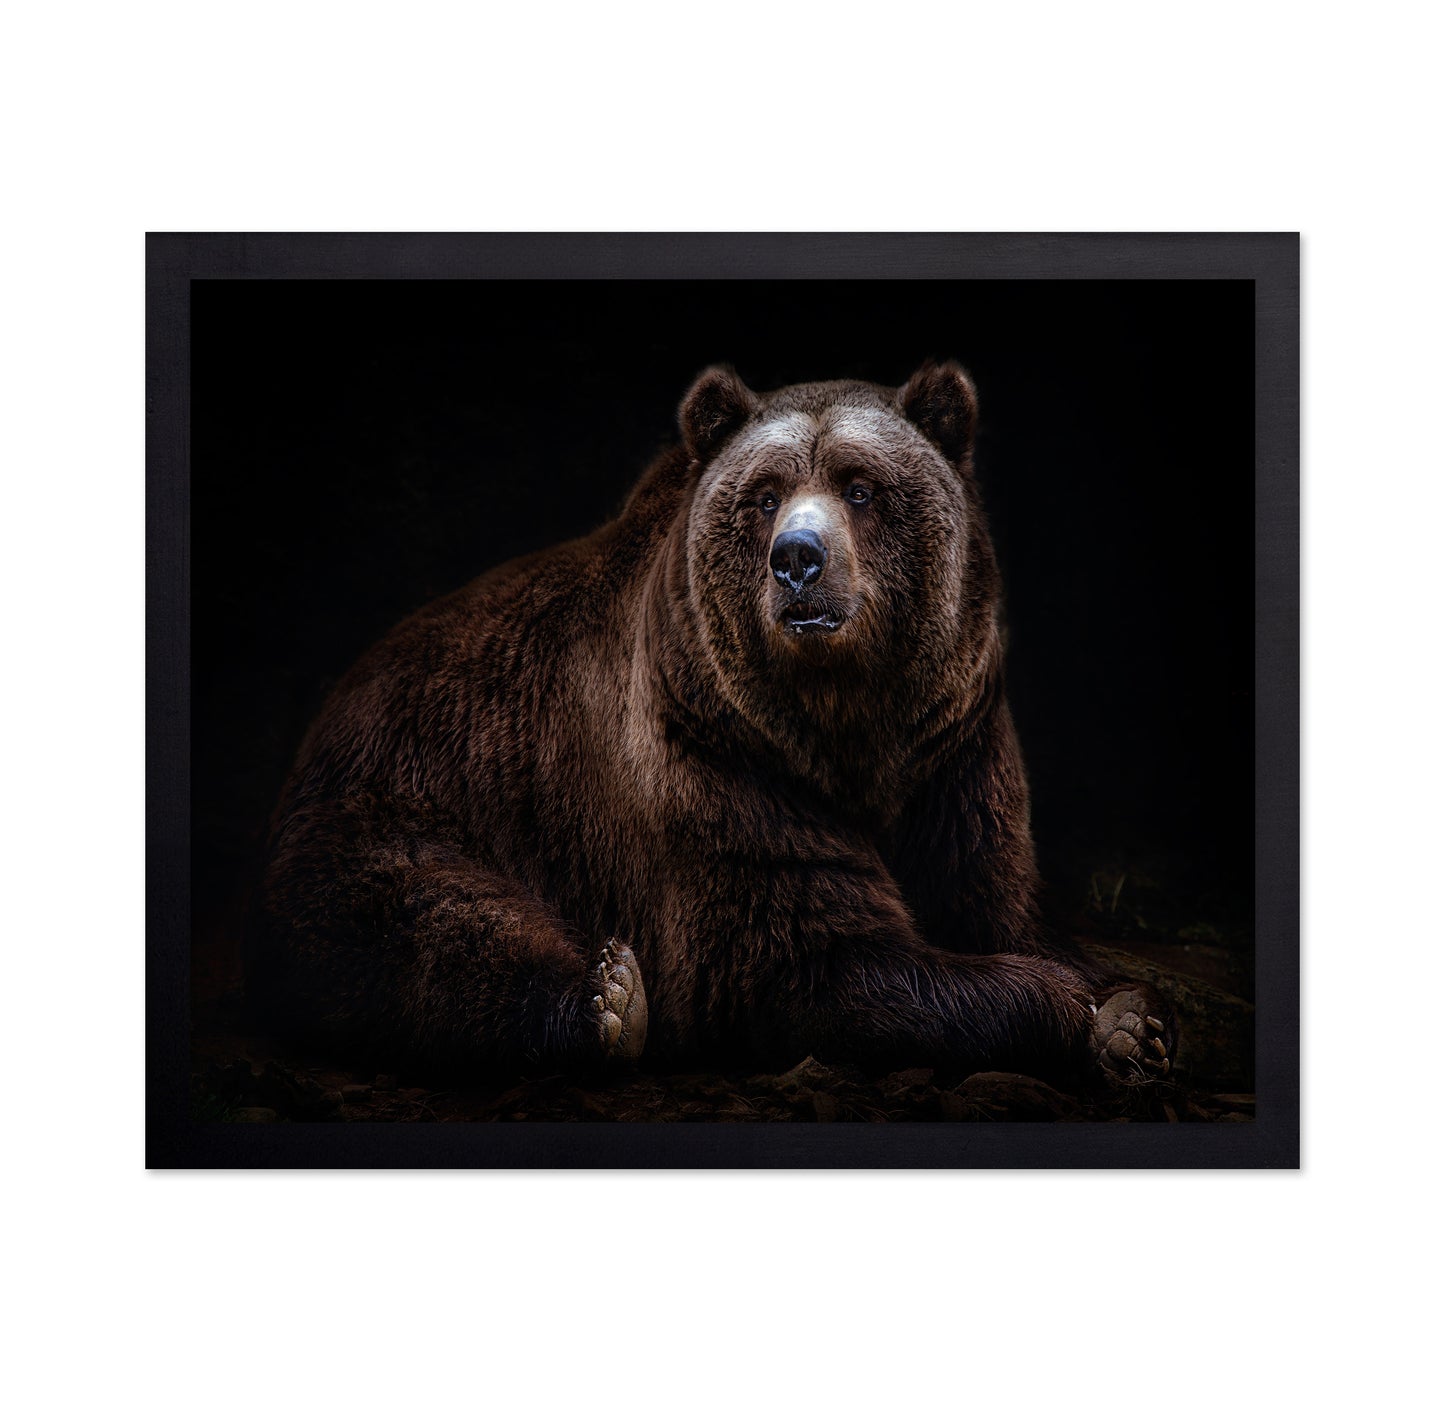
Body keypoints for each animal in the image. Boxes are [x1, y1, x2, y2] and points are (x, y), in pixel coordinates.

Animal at [251, 361, 1176, 1086]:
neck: (843, 723)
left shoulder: (953, 748)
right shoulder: (713, 754)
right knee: (426, 927)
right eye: (765, 495)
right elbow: (807, 960)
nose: (797, 559)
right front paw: (1087, 1014)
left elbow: (993, 896)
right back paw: (602, 999)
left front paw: (1131, 1016)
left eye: (860, 486)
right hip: (398, 806)